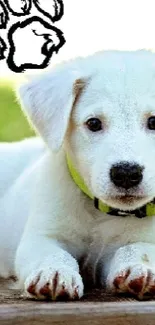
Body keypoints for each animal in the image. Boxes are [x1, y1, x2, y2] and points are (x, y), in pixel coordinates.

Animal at [0, 48, 155, 298]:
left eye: (154, 121)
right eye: (93, 123)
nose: (125, 173)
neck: (101, 213)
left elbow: (138, 247)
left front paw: (138, 267)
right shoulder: (42, 236)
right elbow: (51, 252)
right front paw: (53, 272)